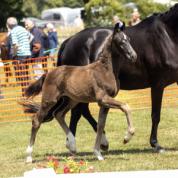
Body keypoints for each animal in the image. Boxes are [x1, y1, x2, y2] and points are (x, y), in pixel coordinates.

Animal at [21, 23, 137, 162]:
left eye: (129, 39)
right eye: (121, 41)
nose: (133, 56)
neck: (105, 69)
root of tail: (48, 73)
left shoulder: (104, 103)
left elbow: (100, 125)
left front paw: (98, 153)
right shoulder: (103, 98)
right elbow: (126, 106)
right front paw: (127, 137)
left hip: (71, 100)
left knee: (58, 114)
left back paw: (72, 145)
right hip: (49, 100)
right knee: (37, 120)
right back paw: (29, 156)